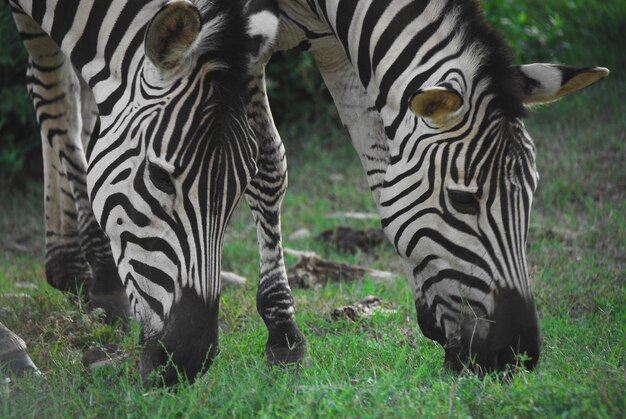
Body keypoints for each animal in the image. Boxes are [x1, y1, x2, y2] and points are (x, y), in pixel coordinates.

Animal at [272, 0, 604, 374]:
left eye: (532, 194)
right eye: (462, 200)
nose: (517, 356)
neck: (325, 8)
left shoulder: (338, 49)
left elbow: (378, 163)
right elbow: (269, 166)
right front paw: (283, 339)